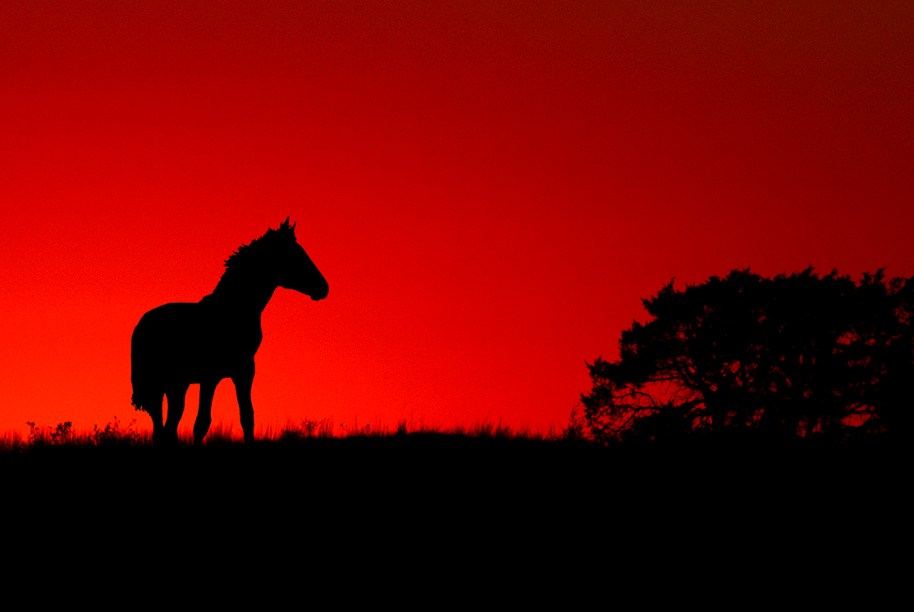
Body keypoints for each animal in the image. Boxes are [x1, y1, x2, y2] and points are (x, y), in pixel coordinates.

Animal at [130, 218, 328, 446]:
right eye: (295, 254)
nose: (323, 288)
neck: (233, 310)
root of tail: (142, 324)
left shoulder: (244, 371)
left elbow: (247, 417)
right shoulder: (210, 375)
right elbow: (201, 423)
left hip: (176, 384)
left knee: (167, 426)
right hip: (161, 383)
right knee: (164, 427)